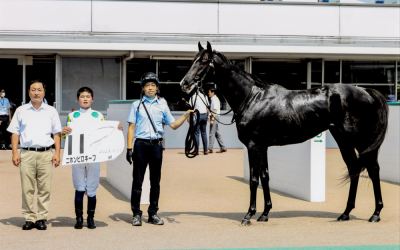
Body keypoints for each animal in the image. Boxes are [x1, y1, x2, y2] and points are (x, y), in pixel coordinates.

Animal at [180, 41, 388, 227]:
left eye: (204, 61)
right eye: (193, 59)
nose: (184, 84)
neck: (252, 98)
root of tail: (366, 91)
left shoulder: (254, 146)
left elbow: (254, 180)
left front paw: (249, 215)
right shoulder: (263, 146)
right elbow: (265, 177)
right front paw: (264, 213)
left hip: (359, 140)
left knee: (372, 169)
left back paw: (376, 214)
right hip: (343, 139)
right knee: (354, 168)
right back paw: (345, 213)